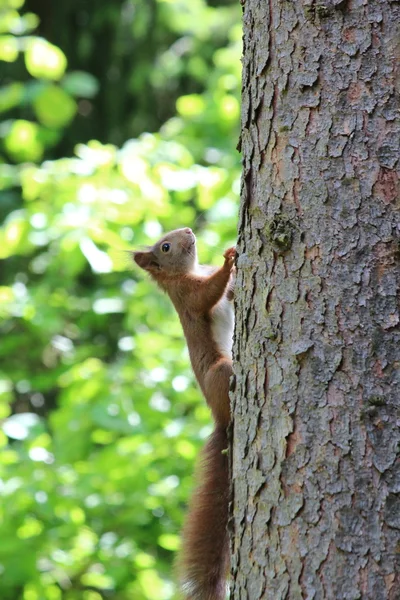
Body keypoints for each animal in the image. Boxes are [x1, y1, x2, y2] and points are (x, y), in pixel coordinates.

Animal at [134, 227, 234, 600]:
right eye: (165, 247)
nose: (189, 230)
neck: (188, 271)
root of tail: (220, 419)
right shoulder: (188, 295)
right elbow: (208, 294)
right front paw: (230, 260)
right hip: (221, 372)